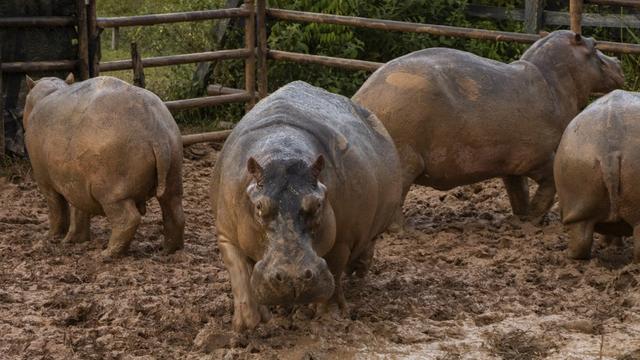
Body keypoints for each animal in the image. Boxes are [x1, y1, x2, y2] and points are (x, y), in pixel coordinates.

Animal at [24, 74, 184, 258]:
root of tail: (156, 133)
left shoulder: (46, 182)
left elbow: (57, 209)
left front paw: (50, 237)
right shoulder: (76, 183)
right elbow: (78, 211)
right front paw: (73, 240)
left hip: (112, 193)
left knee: (128, 219)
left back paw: (105, 254)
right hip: (173, 172)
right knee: (175, 212)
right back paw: (168, 251)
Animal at [210, 80, 400, 330]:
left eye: (317, 204)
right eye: (259, 207)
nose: (294, 278)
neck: (282, 152)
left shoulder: (342, 238)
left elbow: (334, 270)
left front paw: (331, 317)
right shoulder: (226, 234)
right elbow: (240, 273)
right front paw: (248, 324)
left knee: (365, 245)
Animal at [352, 30, 624, 222]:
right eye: (594, 44)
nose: (618, 60)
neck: (553, 81)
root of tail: (360, 99)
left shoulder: (512, 164)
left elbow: (518, 192)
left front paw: (521, 219)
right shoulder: (539, 157)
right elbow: (550, 184)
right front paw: (533, 220)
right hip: (405, 160)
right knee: (395, 202)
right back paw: (404, 230)